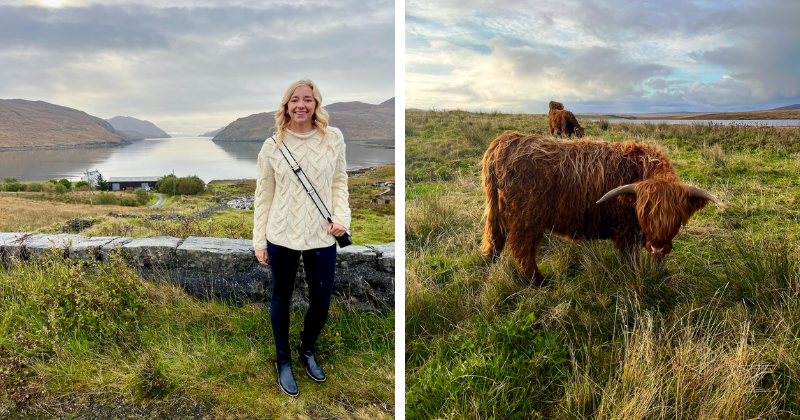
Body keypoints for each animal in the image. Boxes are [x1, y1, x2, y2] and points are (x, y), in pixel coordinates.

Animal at [478, 132, 728, 282]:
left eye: (675, 217)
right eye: (643, 213)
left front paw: (660, 272)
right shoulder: (629, 231)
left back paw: (493, 262)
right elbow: (630, 258)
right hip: (526, 217)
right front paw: (636, 276)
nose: (657, 246)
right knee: (522, 248)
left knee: (495, 238)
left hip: (500, 210)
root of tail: (507, 139)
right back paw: (539, 281)